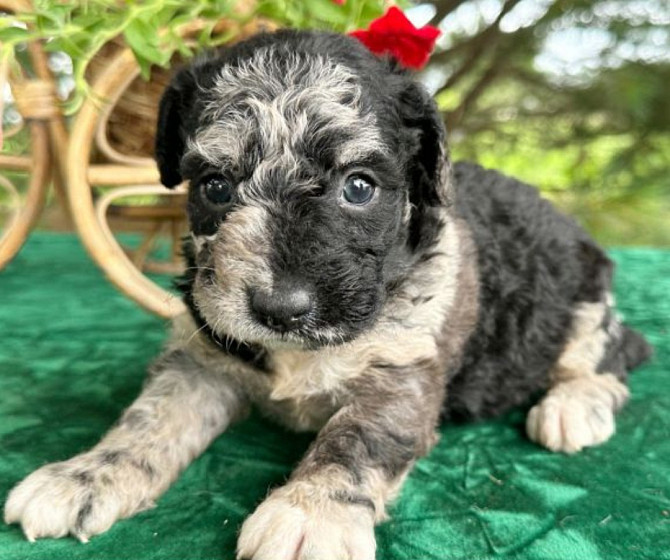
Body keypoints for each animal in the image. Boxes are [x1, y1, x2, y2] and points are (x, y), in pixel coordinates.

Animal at [3, 30, 652, 560]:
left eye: (359, 187)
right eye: (215, 186)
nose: (280, 310)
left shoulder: (403, 371)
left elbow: (356, 438)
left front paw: (308, 514)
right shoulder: (203, 355)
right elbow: (149, 417)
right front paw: (84, 475)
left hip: (585, 301)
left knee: (611, 354)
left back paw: (573, 407)